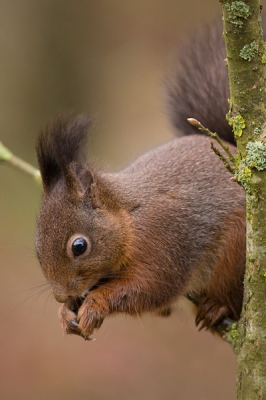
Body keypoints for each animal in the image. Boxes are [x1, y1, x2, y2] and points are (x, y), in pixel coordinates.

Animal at [33, 23, 247, 340]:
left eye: (79, 246)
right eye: (37, 250)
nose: (61, 295)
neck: (130, 219)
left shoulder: (165, 240)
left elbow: (149, 287)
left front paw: (95, 304)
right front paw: (64, 312)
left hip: (237, 251)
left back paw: (216, 307)